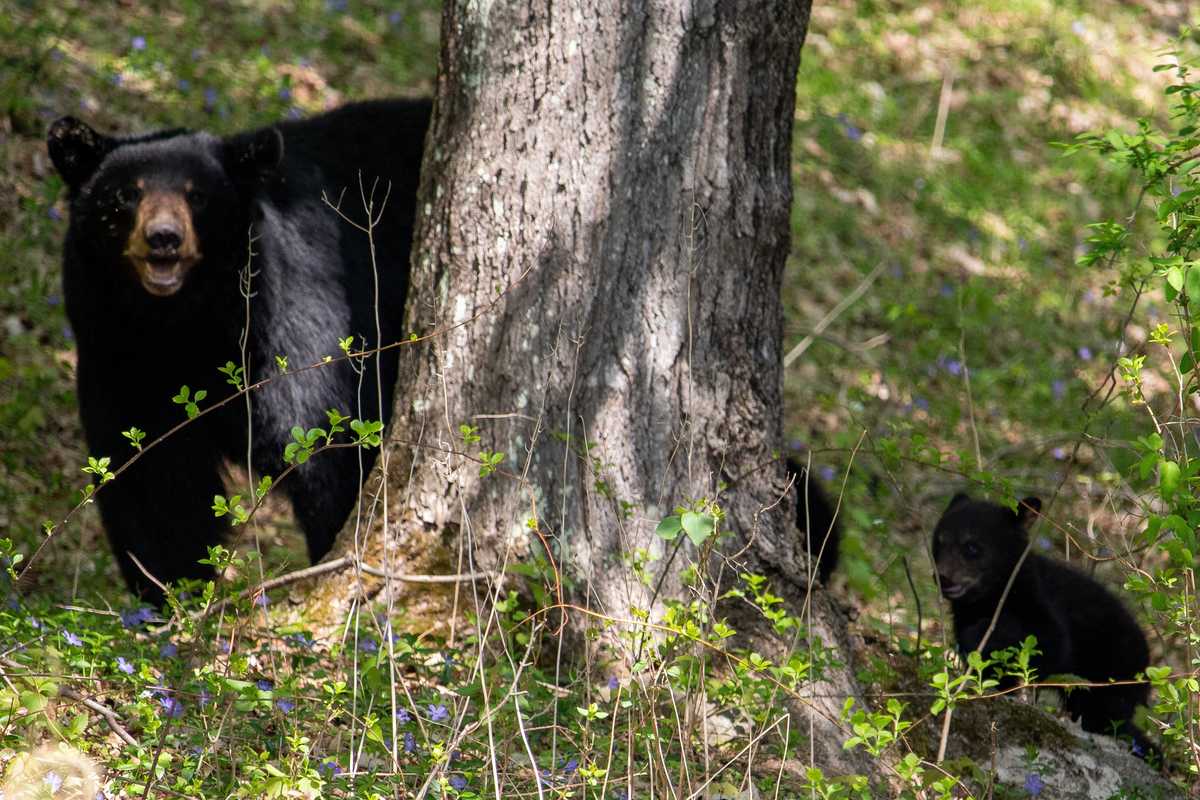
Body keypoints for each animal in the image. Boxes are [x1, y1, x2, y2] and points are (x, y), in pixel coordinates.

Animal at [47, 99, 432, 603]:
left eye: (197, 196)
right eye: (127, 194)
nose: (164, 237)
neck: (180, 323)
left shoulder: (293, 324)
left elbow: (330, 446)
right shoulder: (118, 356)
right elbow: (152, 481)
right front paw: (170, 596)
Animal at [933, 493, 1156, 757]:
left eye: (972, 547)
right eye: (939, 541)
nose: (942, 577)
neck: (989, 597)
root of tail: (1148, 663)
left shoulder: (1038, 599)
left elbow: (1051, 641)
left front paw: (982, 634)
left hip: (1113, 673)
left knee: (1107, 718)